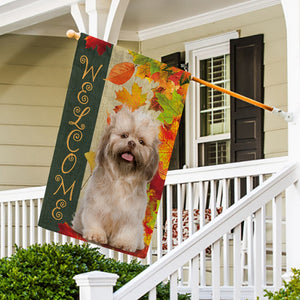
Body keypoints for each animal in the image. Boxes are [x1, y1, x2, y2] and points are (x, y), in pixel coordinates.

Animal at [72, 106, 161, 252]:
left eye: (141, 142)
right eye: (124, 135)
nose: (131, 143)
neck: (121, 176)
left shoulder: (131, 216)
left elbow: (127, 231)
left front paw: (124, 243)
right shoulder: (96, 207)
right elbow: (94, 222)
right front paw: (96, 235)